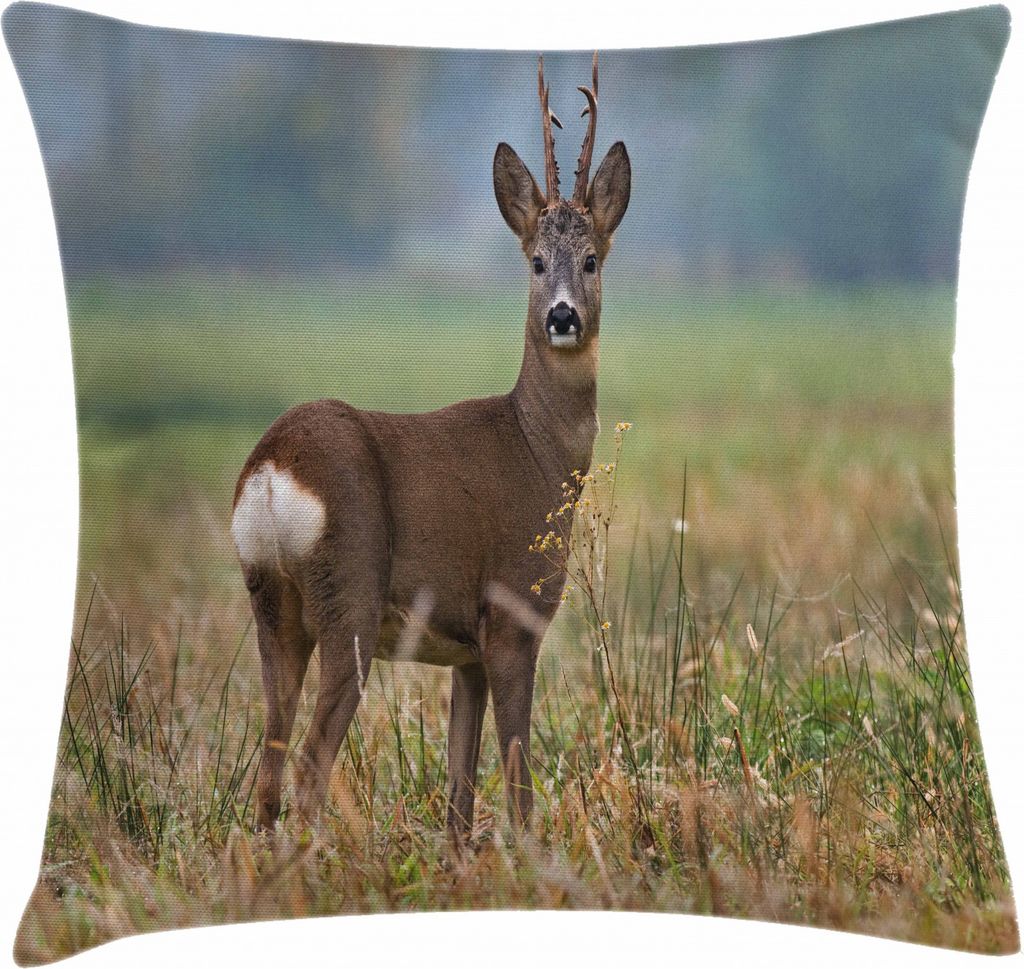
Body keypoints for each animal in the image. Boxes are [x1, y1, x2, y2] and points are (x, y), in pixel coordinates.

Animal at [231, 52, 630, 841]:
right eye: (535, 261)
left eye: (592, 259)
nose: (563, 317)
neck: (538, 451)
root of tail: (271, 467)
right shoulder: (510, 612)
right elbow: (517, 778)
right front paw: (536, 856)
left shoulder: (463, 651)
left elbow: (458, 793)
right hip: (349, 593)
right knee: (311, 763)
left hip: (273, 603)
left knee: (269, 763)